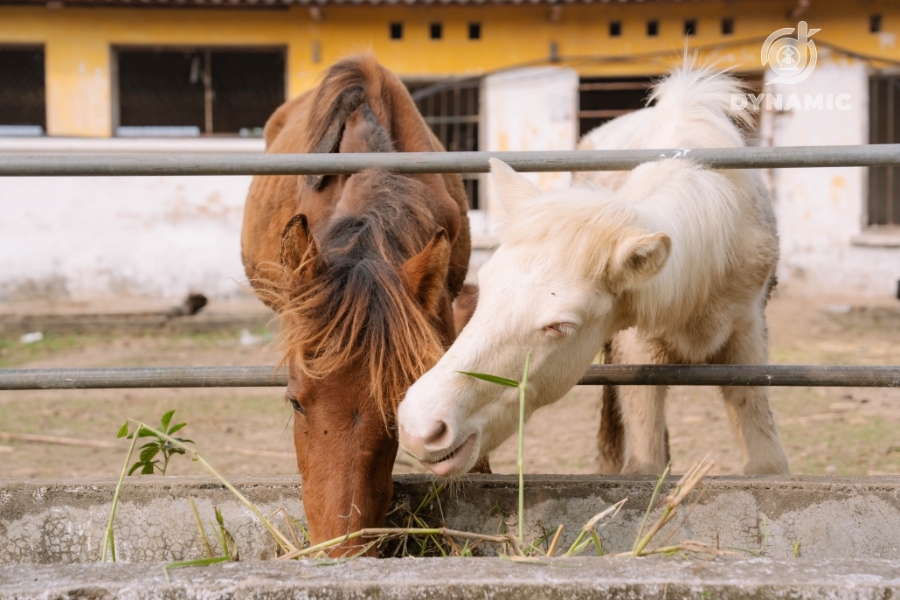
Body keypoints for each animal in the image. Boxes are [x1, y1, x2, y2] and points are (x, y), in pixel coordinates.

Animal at [400, 64, 788, 478]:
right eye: (483, 291)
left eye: (560, 326)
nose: (419, 428)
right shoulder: (636, 348)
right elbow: (644, 461)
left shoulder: (747, 336)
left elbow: (766, 461)